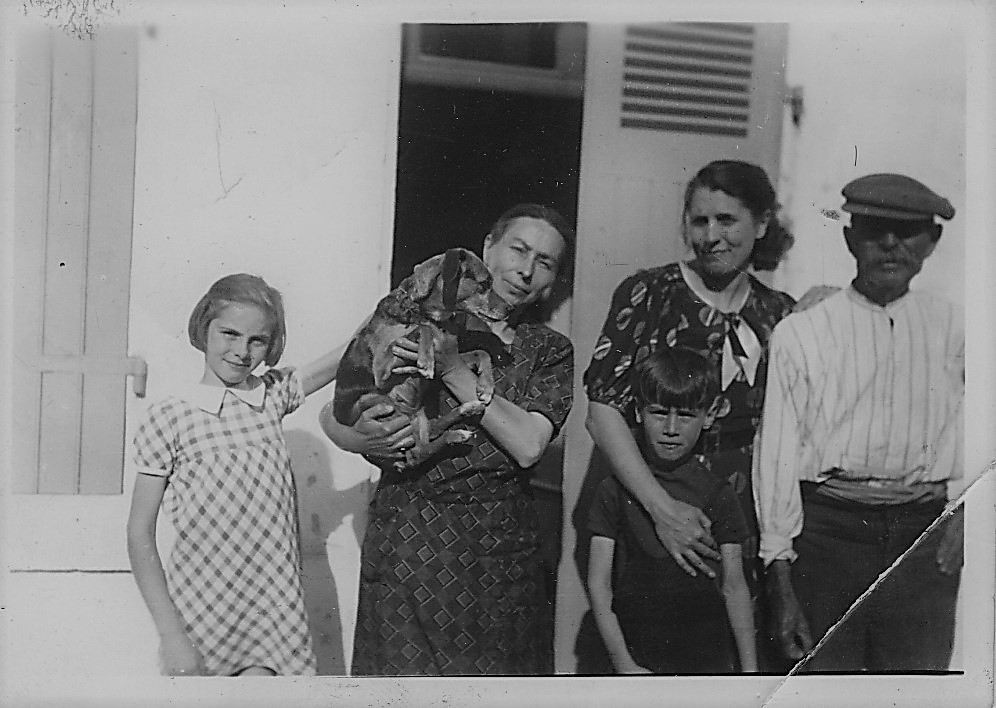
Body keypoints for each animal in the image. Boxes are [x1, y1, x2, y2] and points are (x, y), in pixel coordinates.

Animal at [332, 248, 513, 469]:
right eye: (484, 284)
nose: (510, 309)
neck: (420, 310)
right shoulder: (381, 370)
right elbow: (423, 328)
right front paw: (426, 361)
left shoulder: (452, 356)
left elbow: (482, 353)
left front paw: (486, 387)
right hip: (383, 402)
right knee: (419, 453)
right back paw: (455, 435)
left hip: (415, 413)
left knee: (431, 432)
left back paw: (466, 411)